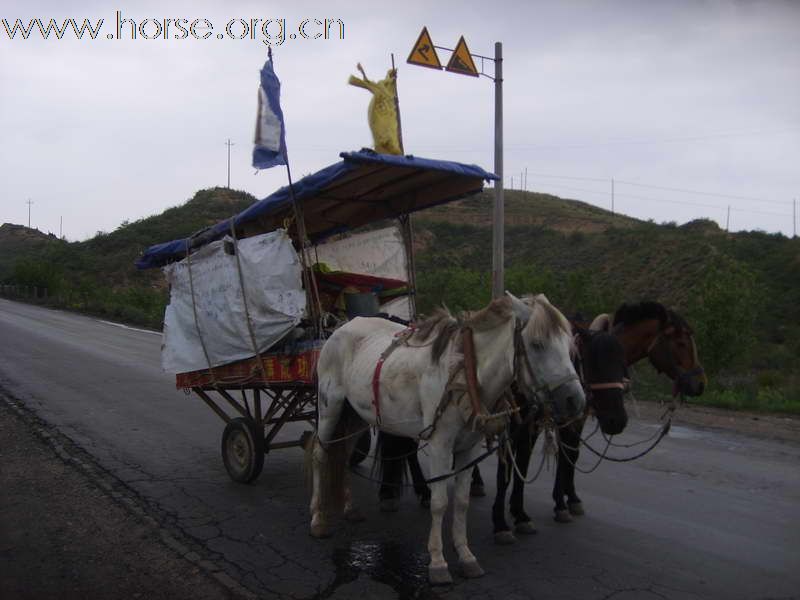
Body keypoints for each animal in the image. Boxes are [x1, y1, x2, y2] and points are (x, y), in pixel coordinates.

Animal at [304, 292, 580, 584]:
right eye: (537, 344)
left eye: (569, 345)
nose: (576, 400)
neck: (464, 371)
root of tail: (340, 328)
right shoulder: (440, 445)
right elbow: (439, 503)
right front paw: (437, 562)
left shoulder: (469, 449)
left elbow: (461, 503)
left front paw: (466, 556)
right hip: (330, 407)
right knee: (320, 454)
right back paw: (318, 518)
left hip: (356, 416)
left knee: (343, 456)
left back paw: (348, 508)